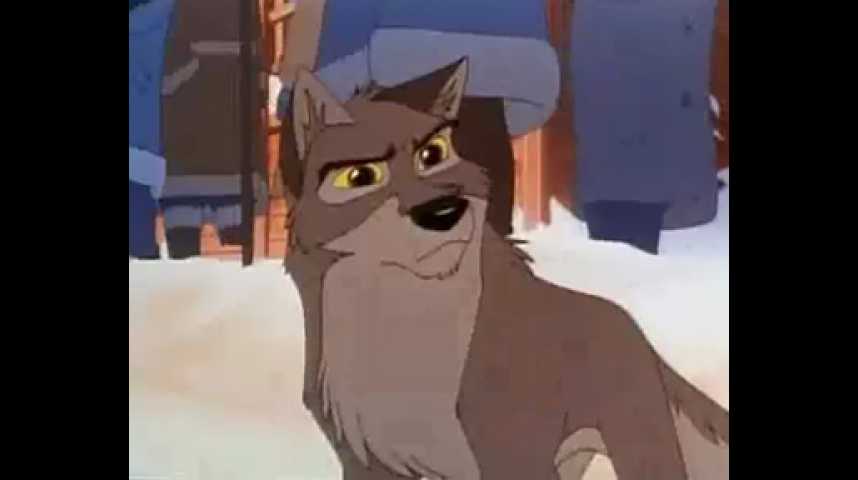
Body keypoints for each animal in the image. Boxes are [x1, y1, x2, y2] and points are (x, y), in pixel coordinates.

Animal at [280, 58, 729, 480]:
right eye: (361, 176)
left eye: (433, 154)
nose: (443, 211)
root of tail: (637, 332)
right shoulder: (367, 462)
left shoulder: (513, 454)